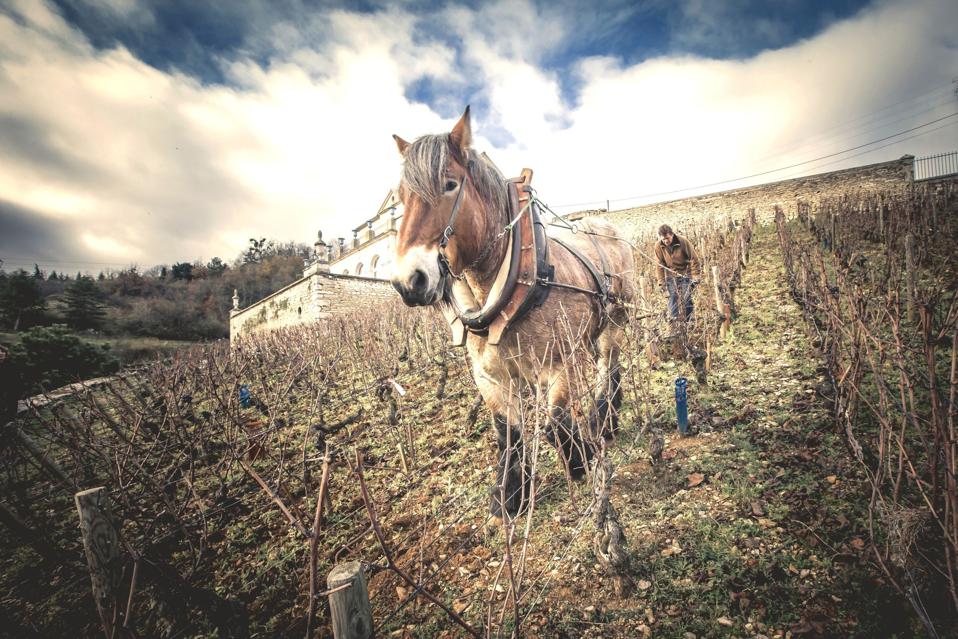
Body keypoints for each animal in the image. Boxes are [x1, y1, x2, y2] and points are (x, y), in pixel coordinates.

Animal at [390, 107, 635, 517]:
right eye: (400, 198)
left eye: (450, 185)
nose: (409, 281)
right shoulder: (491, 377)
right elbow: (507, 432)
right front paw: (509, 493)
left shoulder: (560, 363)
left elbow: (555, 423)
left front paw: (581, 458)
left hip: (616, 322)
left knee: (609, 367)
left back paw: (604, 420)